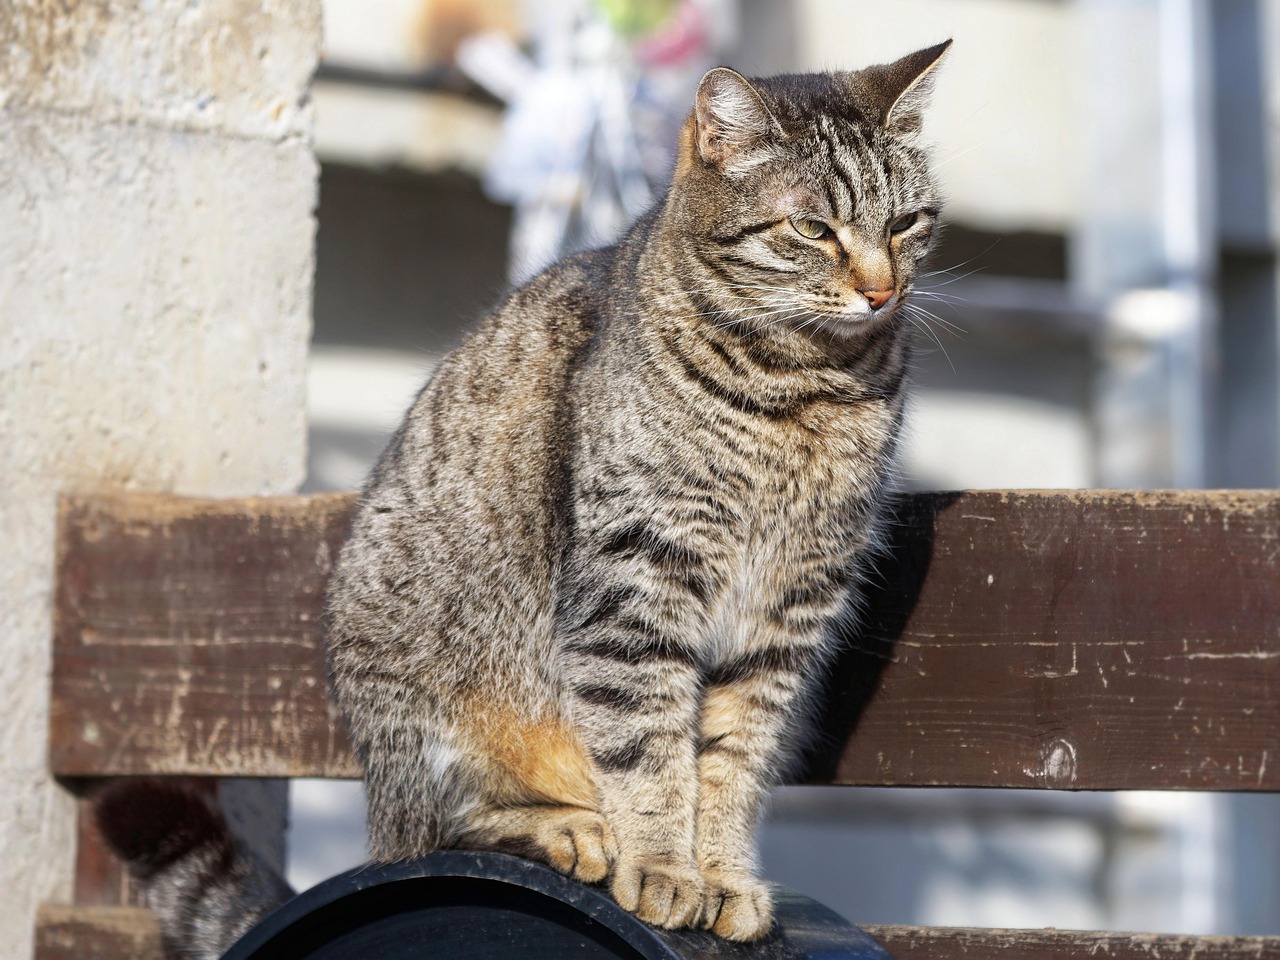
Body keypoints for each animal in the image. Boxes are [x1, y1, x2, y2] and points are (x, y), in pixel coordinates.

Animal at [97, 43, 952, 957]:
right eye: (812, 229)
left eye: (905, 224)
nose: (881, 291)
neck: (806, 389)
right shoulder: (635, 582)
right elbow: (648, 751)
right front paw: (664, 867)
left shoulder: (787, 615)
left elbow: (733, 759)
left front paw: (721, 876)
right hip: (424, 703)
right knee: (442, 830)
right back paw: (571, 828)